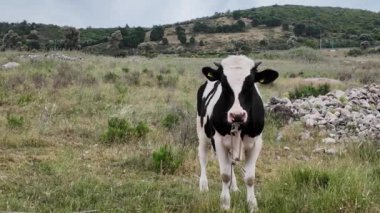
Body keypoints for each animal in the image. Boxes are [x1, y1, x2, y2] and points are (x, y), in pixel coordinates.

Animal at [197, 55, 278, 211]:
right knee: (203, 157)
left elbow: (250, 178)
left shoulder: (256, 143)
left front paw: (252, 205)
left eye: (251, 83)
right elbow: (225, 175)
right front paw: (225, 203)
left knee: (231, 163)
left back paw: (233, 187)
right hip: (202, 133)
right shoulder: (218, 141)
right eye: (224, 84)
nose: (237, 115)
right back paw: (203, 185)